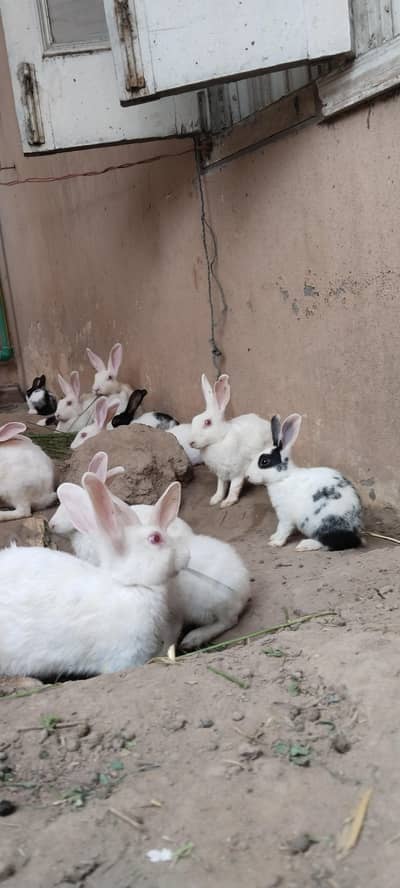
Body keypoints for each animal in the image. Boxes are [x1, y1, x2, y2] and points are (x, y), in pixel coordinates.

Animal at [190, 373, 272, 507]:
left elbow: (234, 487)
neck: (221, 439)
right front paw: (215, 499)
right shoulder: (221, 474)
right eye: (194, 419)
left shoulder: (238, 471)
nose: (190, 442)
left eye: (207, 422)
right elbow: (220, 487)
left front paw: (227, 502)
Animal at [246, 413, 363, 551]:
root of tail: (354, 531)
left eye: (264, 462)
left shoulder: (286, 516)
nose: (247, 476)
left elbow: (283, 529)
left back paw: (305, 544)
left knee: (332, 542)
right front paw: (273, 537)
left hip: (322, 524)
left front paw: (275, 543)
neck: (284, 477)